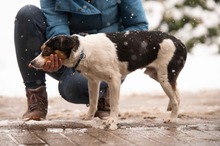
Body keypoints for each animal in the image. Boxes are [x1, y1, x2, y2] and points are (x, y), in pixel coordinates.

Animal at [29, 30, 187, 129]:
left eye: (46, 51)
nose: (31, 63)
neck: (84, 51)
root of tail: (179, 42)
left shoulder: (114, 80)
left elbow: (114, 105)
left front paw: (112, 121)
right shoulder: (93, 81)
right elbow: (93, 103)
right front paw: (89, 117)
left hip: (165, 77)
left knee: (176, 99)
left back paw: (172, 118)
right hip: (157, 75)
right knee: (178, 95)